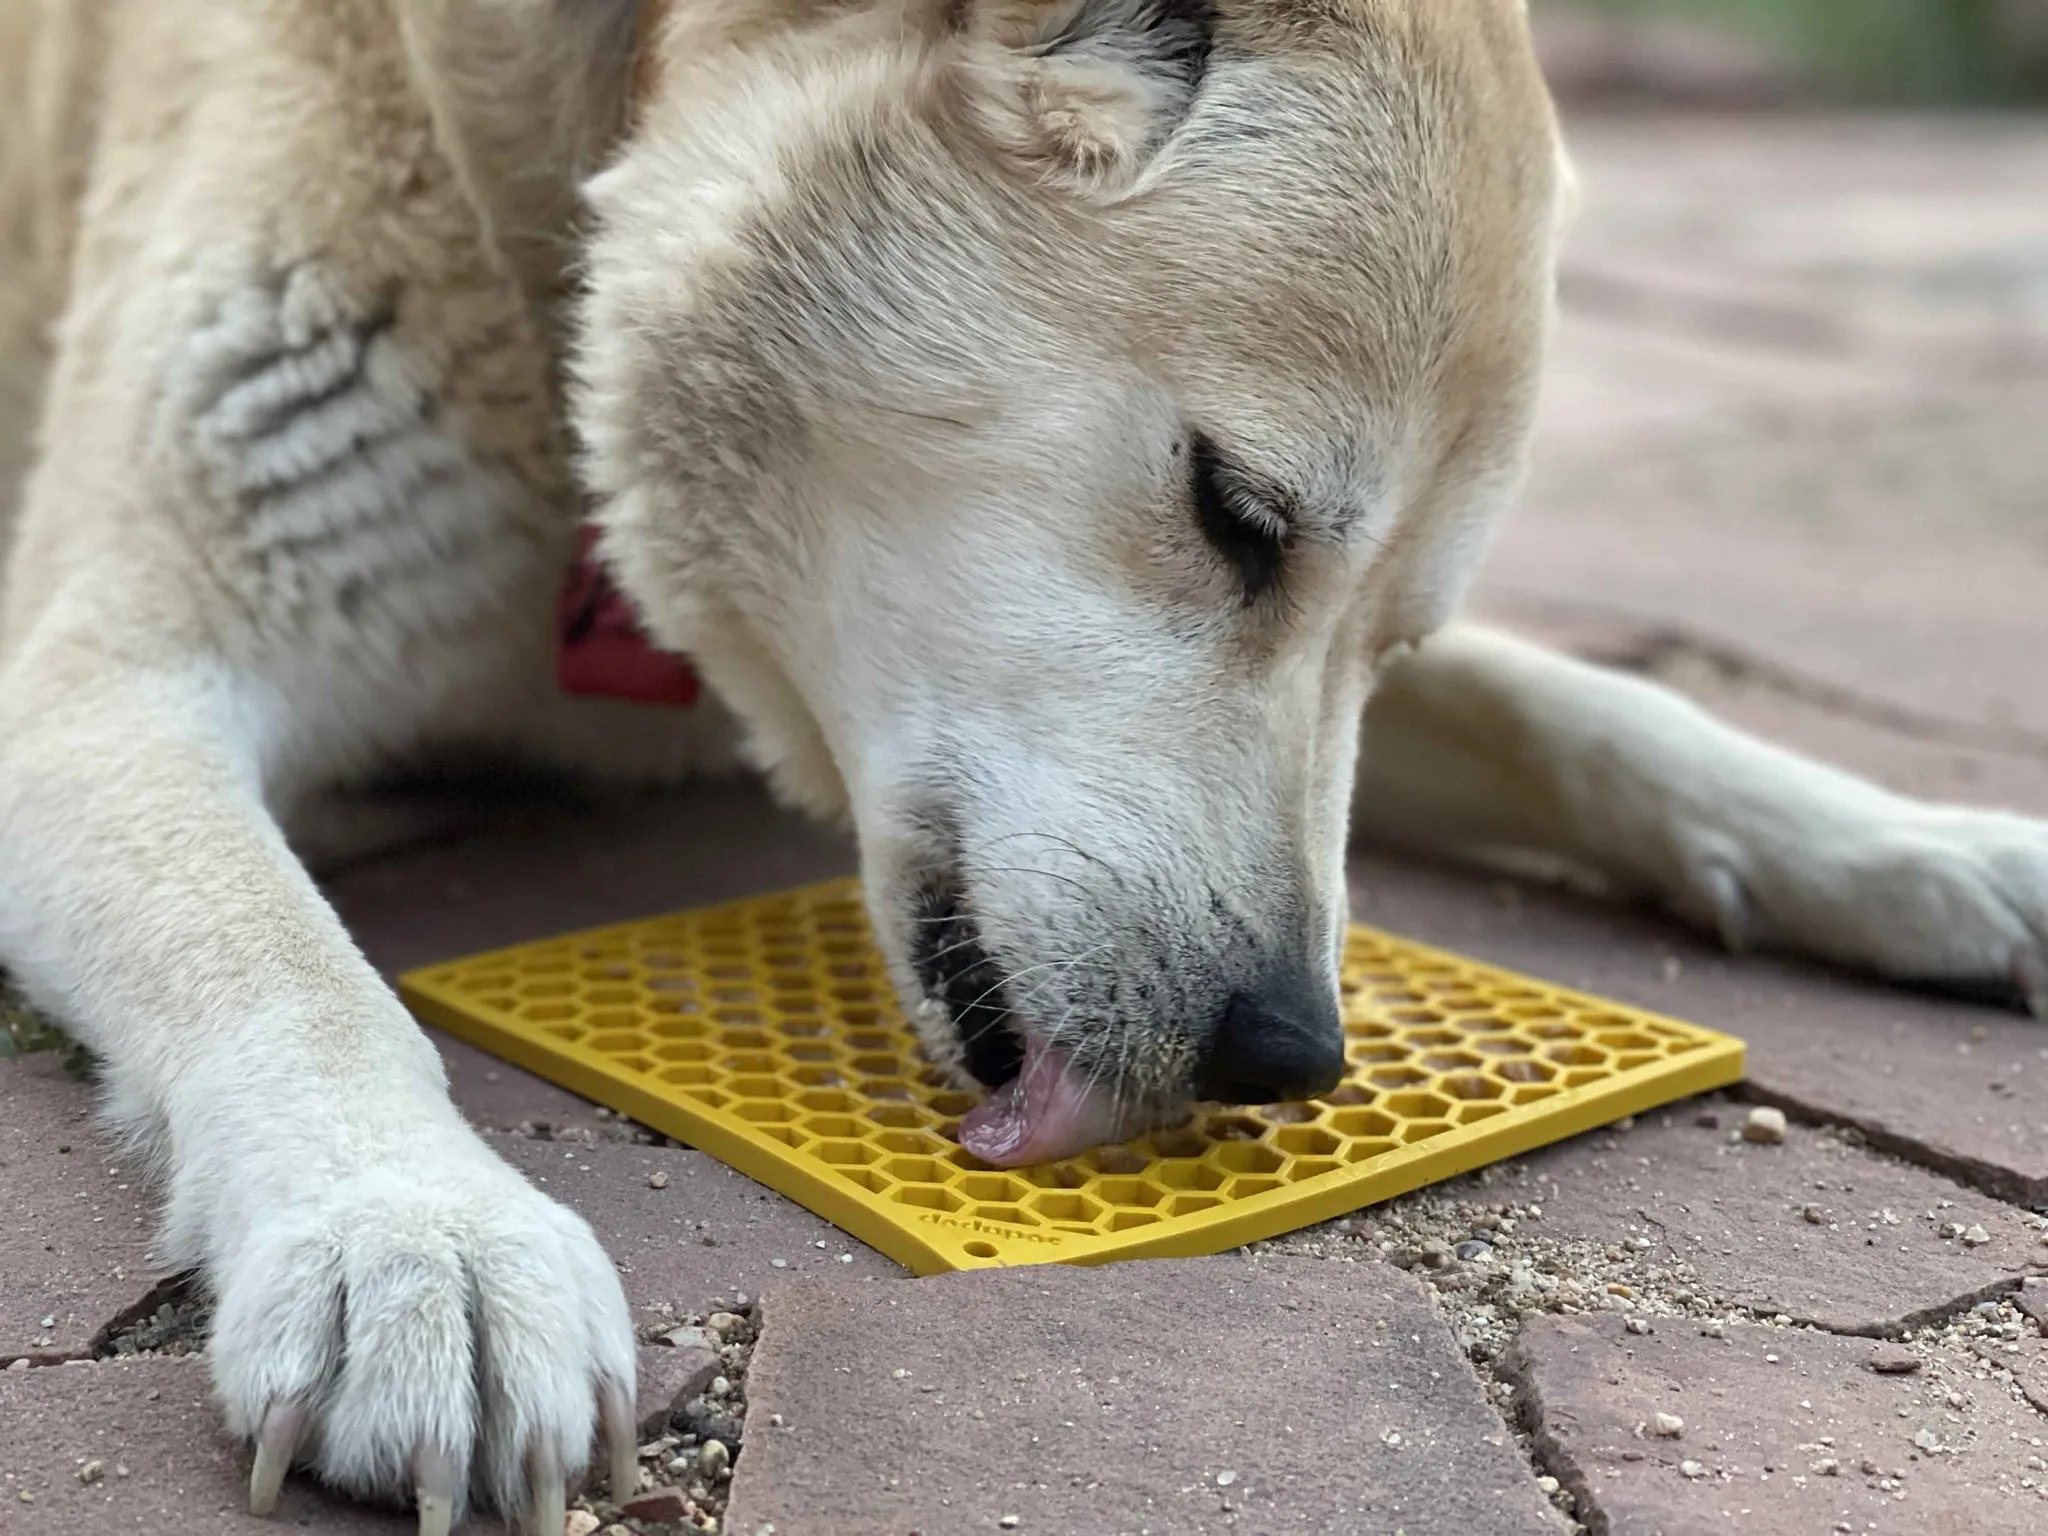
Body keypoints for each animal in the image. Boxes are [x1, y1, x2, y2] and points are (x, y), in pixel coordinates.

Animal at [4, 0, 2048, 1531]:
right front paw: (411, 1234)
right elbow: (276, 954)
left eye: (1391, 633)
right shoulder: (94, 681)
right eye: (1237, 513)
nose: (1287, 1054)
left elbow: (1593, 711)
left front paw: (1921, 847)